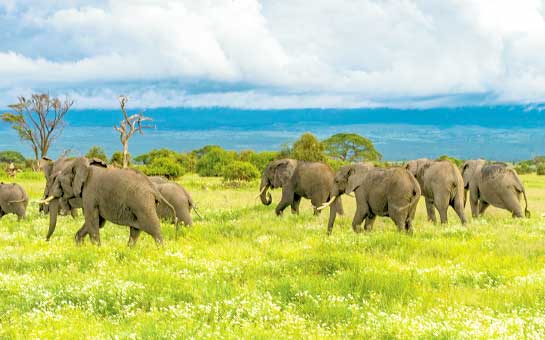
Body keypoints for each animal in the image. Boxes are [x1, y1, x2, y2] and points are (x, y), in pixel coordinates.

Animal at [40, 158, 176, 246]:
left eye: (59, 182)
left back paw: (161, 250)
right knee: (135, 231)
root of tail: (153, 189)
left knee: (154, 229)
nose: (46, 241)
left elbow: (92, 220)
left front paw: (96, 249)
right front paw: (79, 244)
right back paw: (128, 250)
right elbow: (98, 222)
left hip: (143, 204)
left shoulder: (90, 193)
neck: (83, 168)